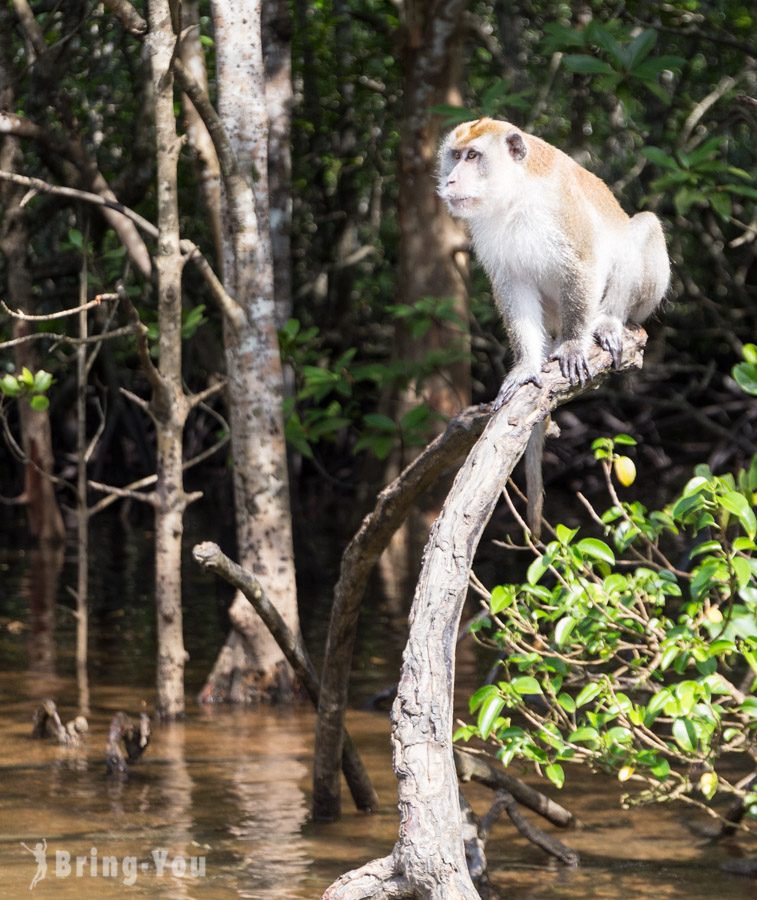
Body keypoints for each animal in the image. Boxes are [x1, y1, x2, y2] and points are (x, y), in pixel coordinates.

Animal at [438, 116, 668, 532]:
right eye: (455, 155)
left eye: (473, 156)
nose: (450, 180)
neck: (515, 195)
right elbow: (514, 284)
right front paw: (527, 365)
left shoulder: (562, 206)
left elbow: (583, 263)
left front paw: (575, 345)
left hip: (644, 299)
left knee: (643, 227)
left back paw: (607, 323)